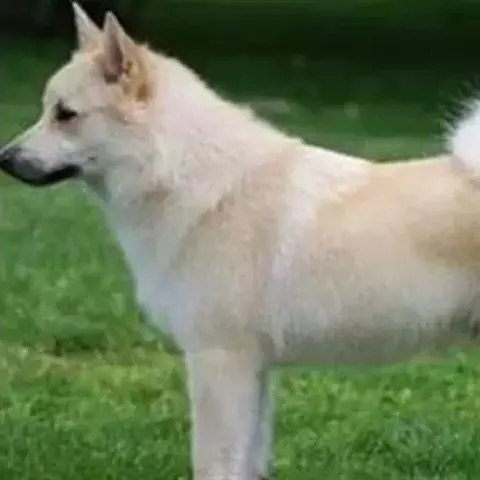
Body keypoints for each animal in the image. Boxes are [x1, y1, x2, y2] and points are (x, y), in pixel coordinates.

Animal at [1, 3, 480, 479]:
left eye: (66, 114)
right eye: (47, 110)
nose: (5, 158)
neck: (189, 179)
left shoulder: (220, 361)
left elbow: (215, 462)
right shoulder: (253, 371)